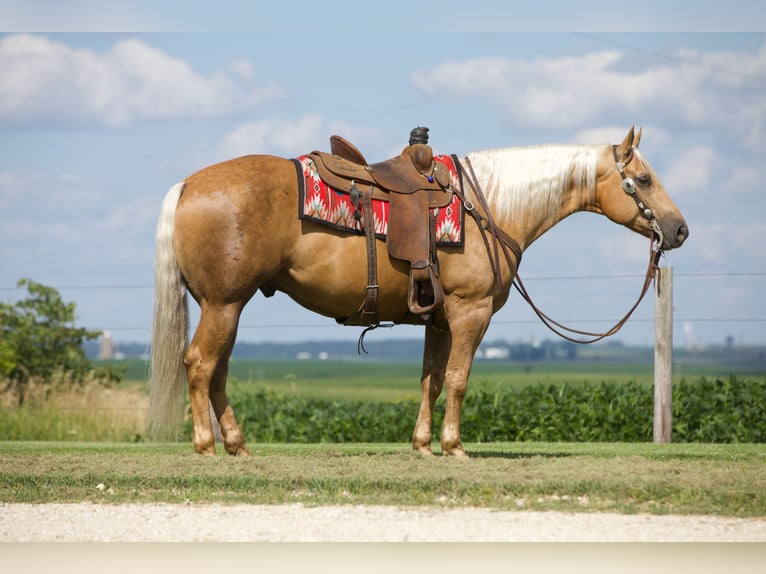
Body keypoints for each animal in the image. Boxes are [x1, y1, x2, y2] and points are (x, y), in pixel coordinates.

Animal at [148, 126, 688, 460]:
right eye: (643, 179)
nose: (679, 230)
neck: (486, 206)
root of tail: (189, 184)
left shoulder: (440, 320)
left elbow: (430, 380)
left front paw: (423, 444)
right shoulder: (471, 314)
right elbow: (458, 380)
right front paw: (454, 446)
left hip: (226, 307)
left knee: (217, 371)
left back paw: (236, 445)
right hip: (223, 305)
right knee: (200, 363)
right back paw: (205, 445)